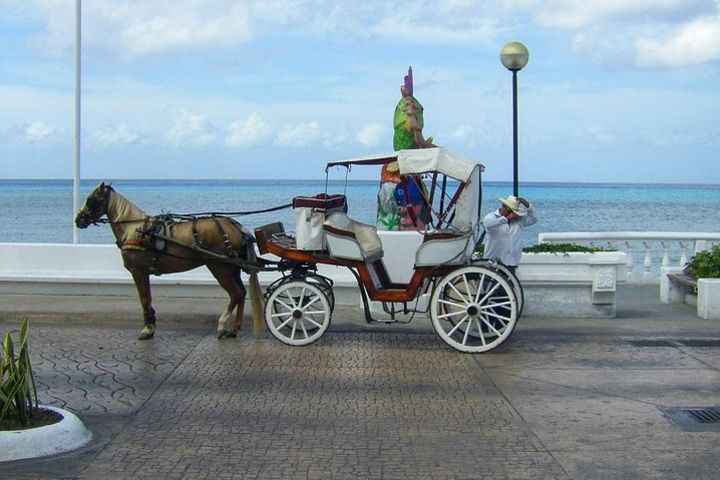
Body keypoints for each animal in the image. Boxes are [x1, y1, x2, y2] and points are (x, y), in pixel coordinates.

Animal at [75, 181, 264, 342]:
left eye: (92, 199)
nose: (78, 219)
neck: (135, 231)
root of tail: (236, 227)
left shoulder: (139, 271)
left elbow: (145, 299)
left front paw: (147, 328)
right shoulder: (143, 272)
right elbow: (147, 298)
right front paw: (150, 326)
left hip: (220, 267)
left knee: (236, 293)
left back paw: (222, 324)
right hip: (232, 268)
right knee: (241, 293)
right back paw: (234, 328)